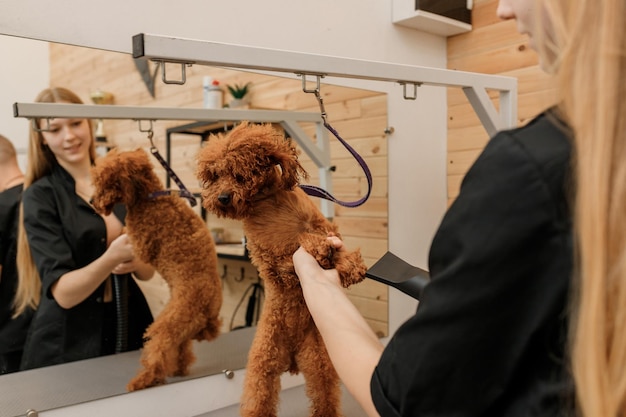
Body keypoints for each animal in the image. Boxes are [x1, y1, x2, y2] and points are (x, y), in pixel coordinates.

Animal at [89, 149, 222, 390]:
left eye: (106, 183)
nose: (91, 201)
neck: (149, 197)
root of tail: (210, 313)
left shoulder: (141, 242)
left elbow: (127, 234)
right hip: (184, 326)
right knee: (182, 350)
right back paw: (178, 370)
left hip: (168, 324)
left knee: (159, 349)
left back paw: (144, 379)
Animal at [196, 122, 366, 416]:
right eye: (215, 175)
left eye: (240, 174)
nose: (222, 198)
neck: (269, 202)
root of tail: (293, 358)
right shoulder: (274, 261)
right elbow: (300, 247)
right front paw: (320, 251)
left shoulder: (324, 227)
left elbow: (331, 243)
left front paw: (350, 265)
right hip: (263, 367)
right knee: (258, 401)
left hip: (319, 365)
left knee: (325, 400)